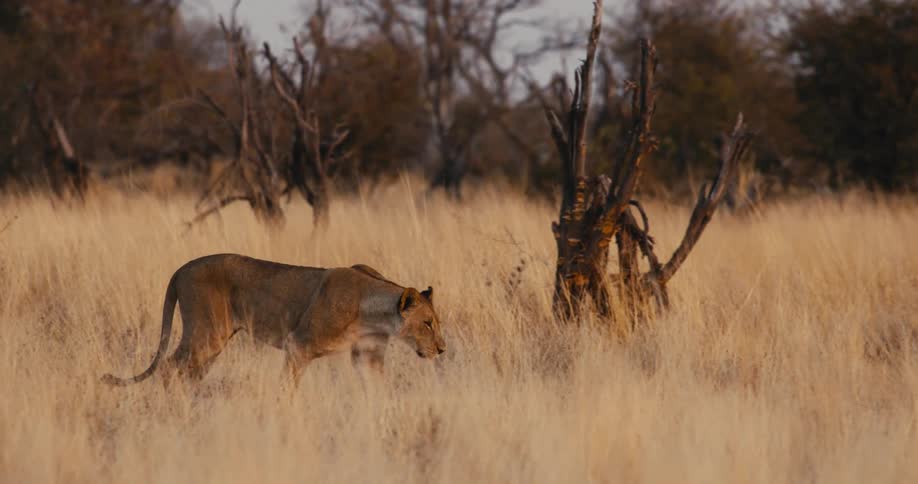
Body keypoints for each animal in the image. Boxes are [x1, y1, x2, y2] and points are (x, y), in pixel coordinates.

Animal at [102, 254, 446, 386]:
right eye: (427, 323)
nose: (442, 349)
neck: (374, 313)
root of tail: (179, 270)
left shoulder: (368, 356)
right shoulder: (298, 345)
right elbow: (288, 387)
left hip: (211, 342)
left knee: (187, 372)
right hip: (206, 334)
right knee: (170, 369)